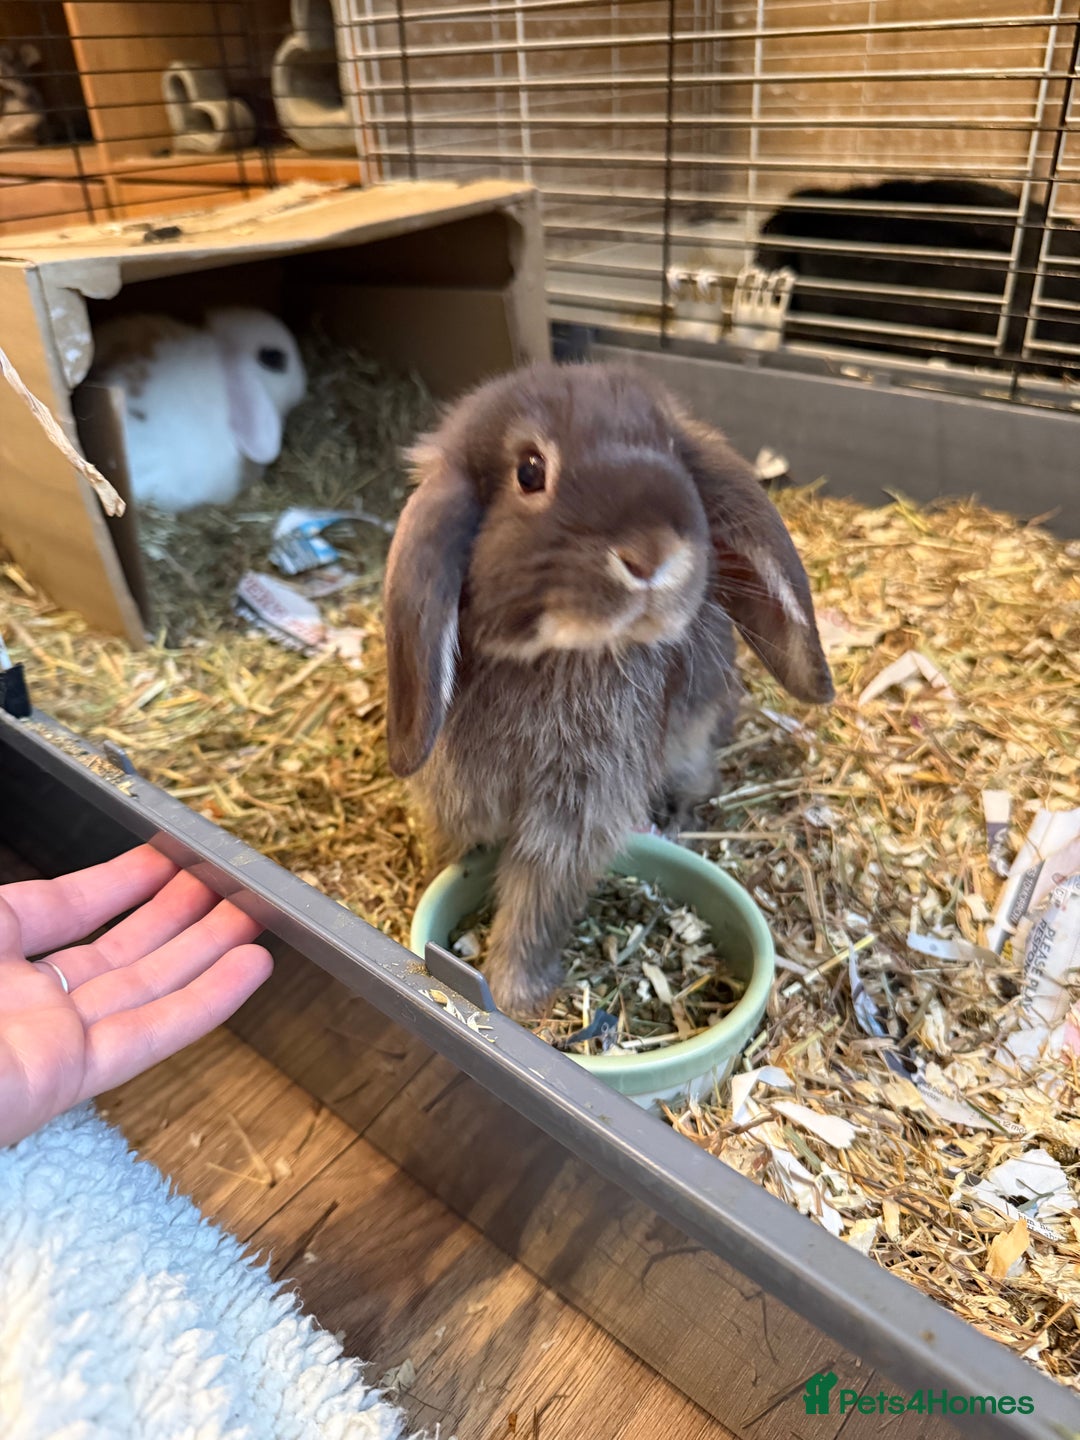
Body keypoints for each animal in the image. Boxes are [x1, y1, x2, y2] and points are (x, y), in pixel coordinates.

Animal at [383, 361, 834, 1020]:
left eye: (672, 449)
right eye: (529, 470)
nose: (651, 554)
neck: (556, 654)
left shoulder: (575, 815)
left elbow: (537, 905)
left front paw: (515, 997)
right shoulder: (455, 796)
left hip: (691, 744)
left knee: (698, 781)